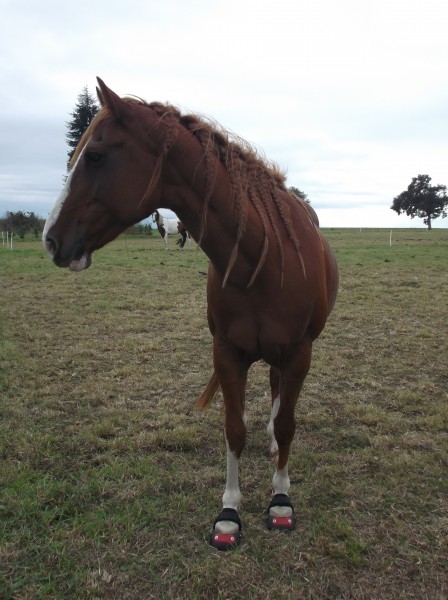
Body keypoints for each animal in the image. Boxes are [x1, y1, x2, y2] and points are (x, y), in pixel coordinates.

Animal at [43, 78, 339, 550]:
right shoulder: (228, 353)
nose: (51, 240)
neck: (263, 258)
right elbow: (234, 429)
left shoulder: (299, 353)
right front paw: (229, 513)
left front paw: (280, 501)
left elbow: (288, 425)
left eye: (95, 156)